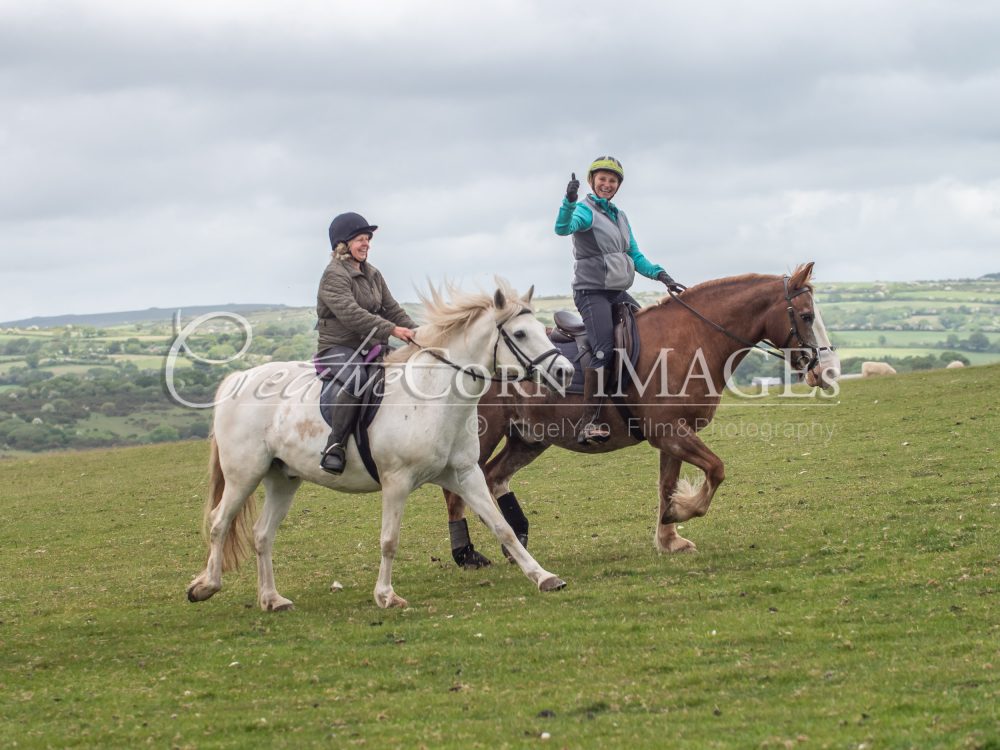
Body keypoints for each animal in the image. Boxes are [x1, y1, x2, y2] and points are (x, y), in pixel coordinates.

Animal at [186, 280, 575, 610]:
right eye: (520, 333)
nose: (566, 372)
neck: (436, 398)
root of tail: (239, 378)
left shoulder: (464, 475)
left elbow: (502, 527)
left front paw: (544, 577)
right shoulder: (396, 482)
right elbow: (389, 540)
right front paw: (387, 596)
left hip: (282, 479)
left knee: (262, 534)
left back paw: (272, 599)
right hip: (244, 475)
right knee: (219, 523)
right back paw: (206, 586)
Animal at [442, 263, 841, 566]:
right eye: (807, 316)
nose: (829, 371)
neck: (690, 339)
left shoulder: (675, 435)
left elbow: (667, 484)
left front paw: (668, 536)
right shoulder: (668, 431)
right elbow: (716, 469)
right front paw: (682, 511)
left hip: (528, 438)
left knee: (494, 477)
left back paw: (515, 541)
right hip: (483, 434)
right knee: (457, 489)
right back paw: (466, 554)